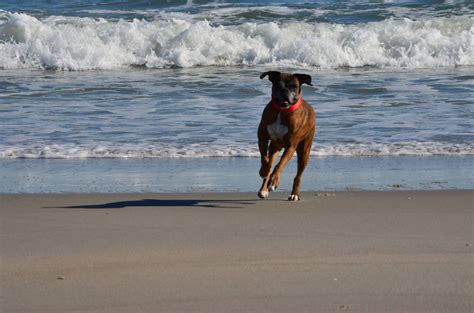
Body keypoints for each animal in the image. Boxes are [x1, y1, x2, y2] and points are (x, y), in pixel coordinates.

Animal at [256, 71, 314, 201]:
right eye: (278, 84)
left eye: (294, 86)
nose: (284, 90)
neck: (281, 111)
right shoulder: (262, 137)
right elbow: (265, 159)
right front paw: (264, 171)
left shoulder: (291, 146)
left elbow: (279, 165)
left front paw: (275, 180)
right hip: (274, 147)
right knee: (270, 161)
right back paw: (264, 189)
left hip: (304, 152)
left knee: (298, 175)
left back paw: (294, 194)